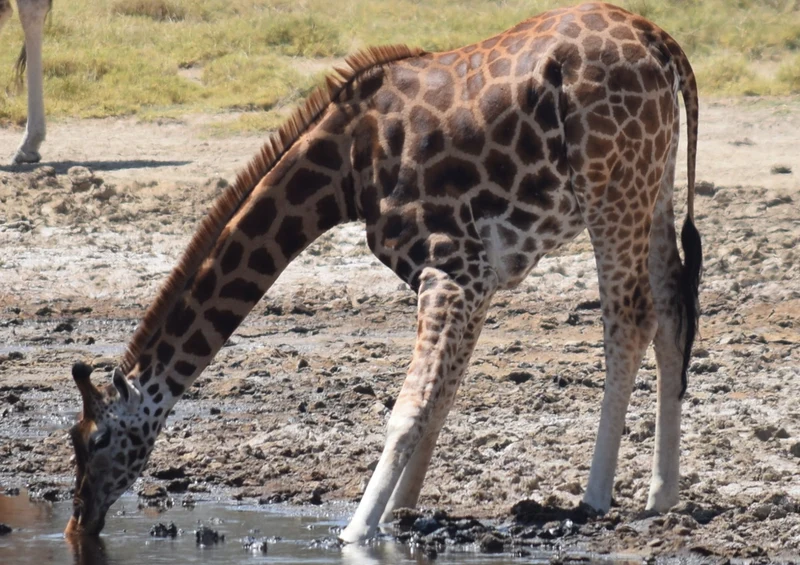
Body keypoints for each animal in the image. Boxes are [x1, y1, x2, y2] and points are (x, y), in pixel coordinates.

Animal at [64, 2, 701, 543]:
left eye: (94, 440)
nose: (77, 520)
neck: (344, 170)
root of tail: (661, 40)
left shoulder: (451, 266)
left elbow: (408, 407)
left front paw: (356, 530)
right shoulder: (480, 275)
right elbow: (440, 397)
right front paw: (401, 512)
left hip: (610, 186)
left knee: (629, 319)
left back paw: (596, 497)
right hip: (655, 179)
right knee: (673, 309)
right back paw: (662, 495)